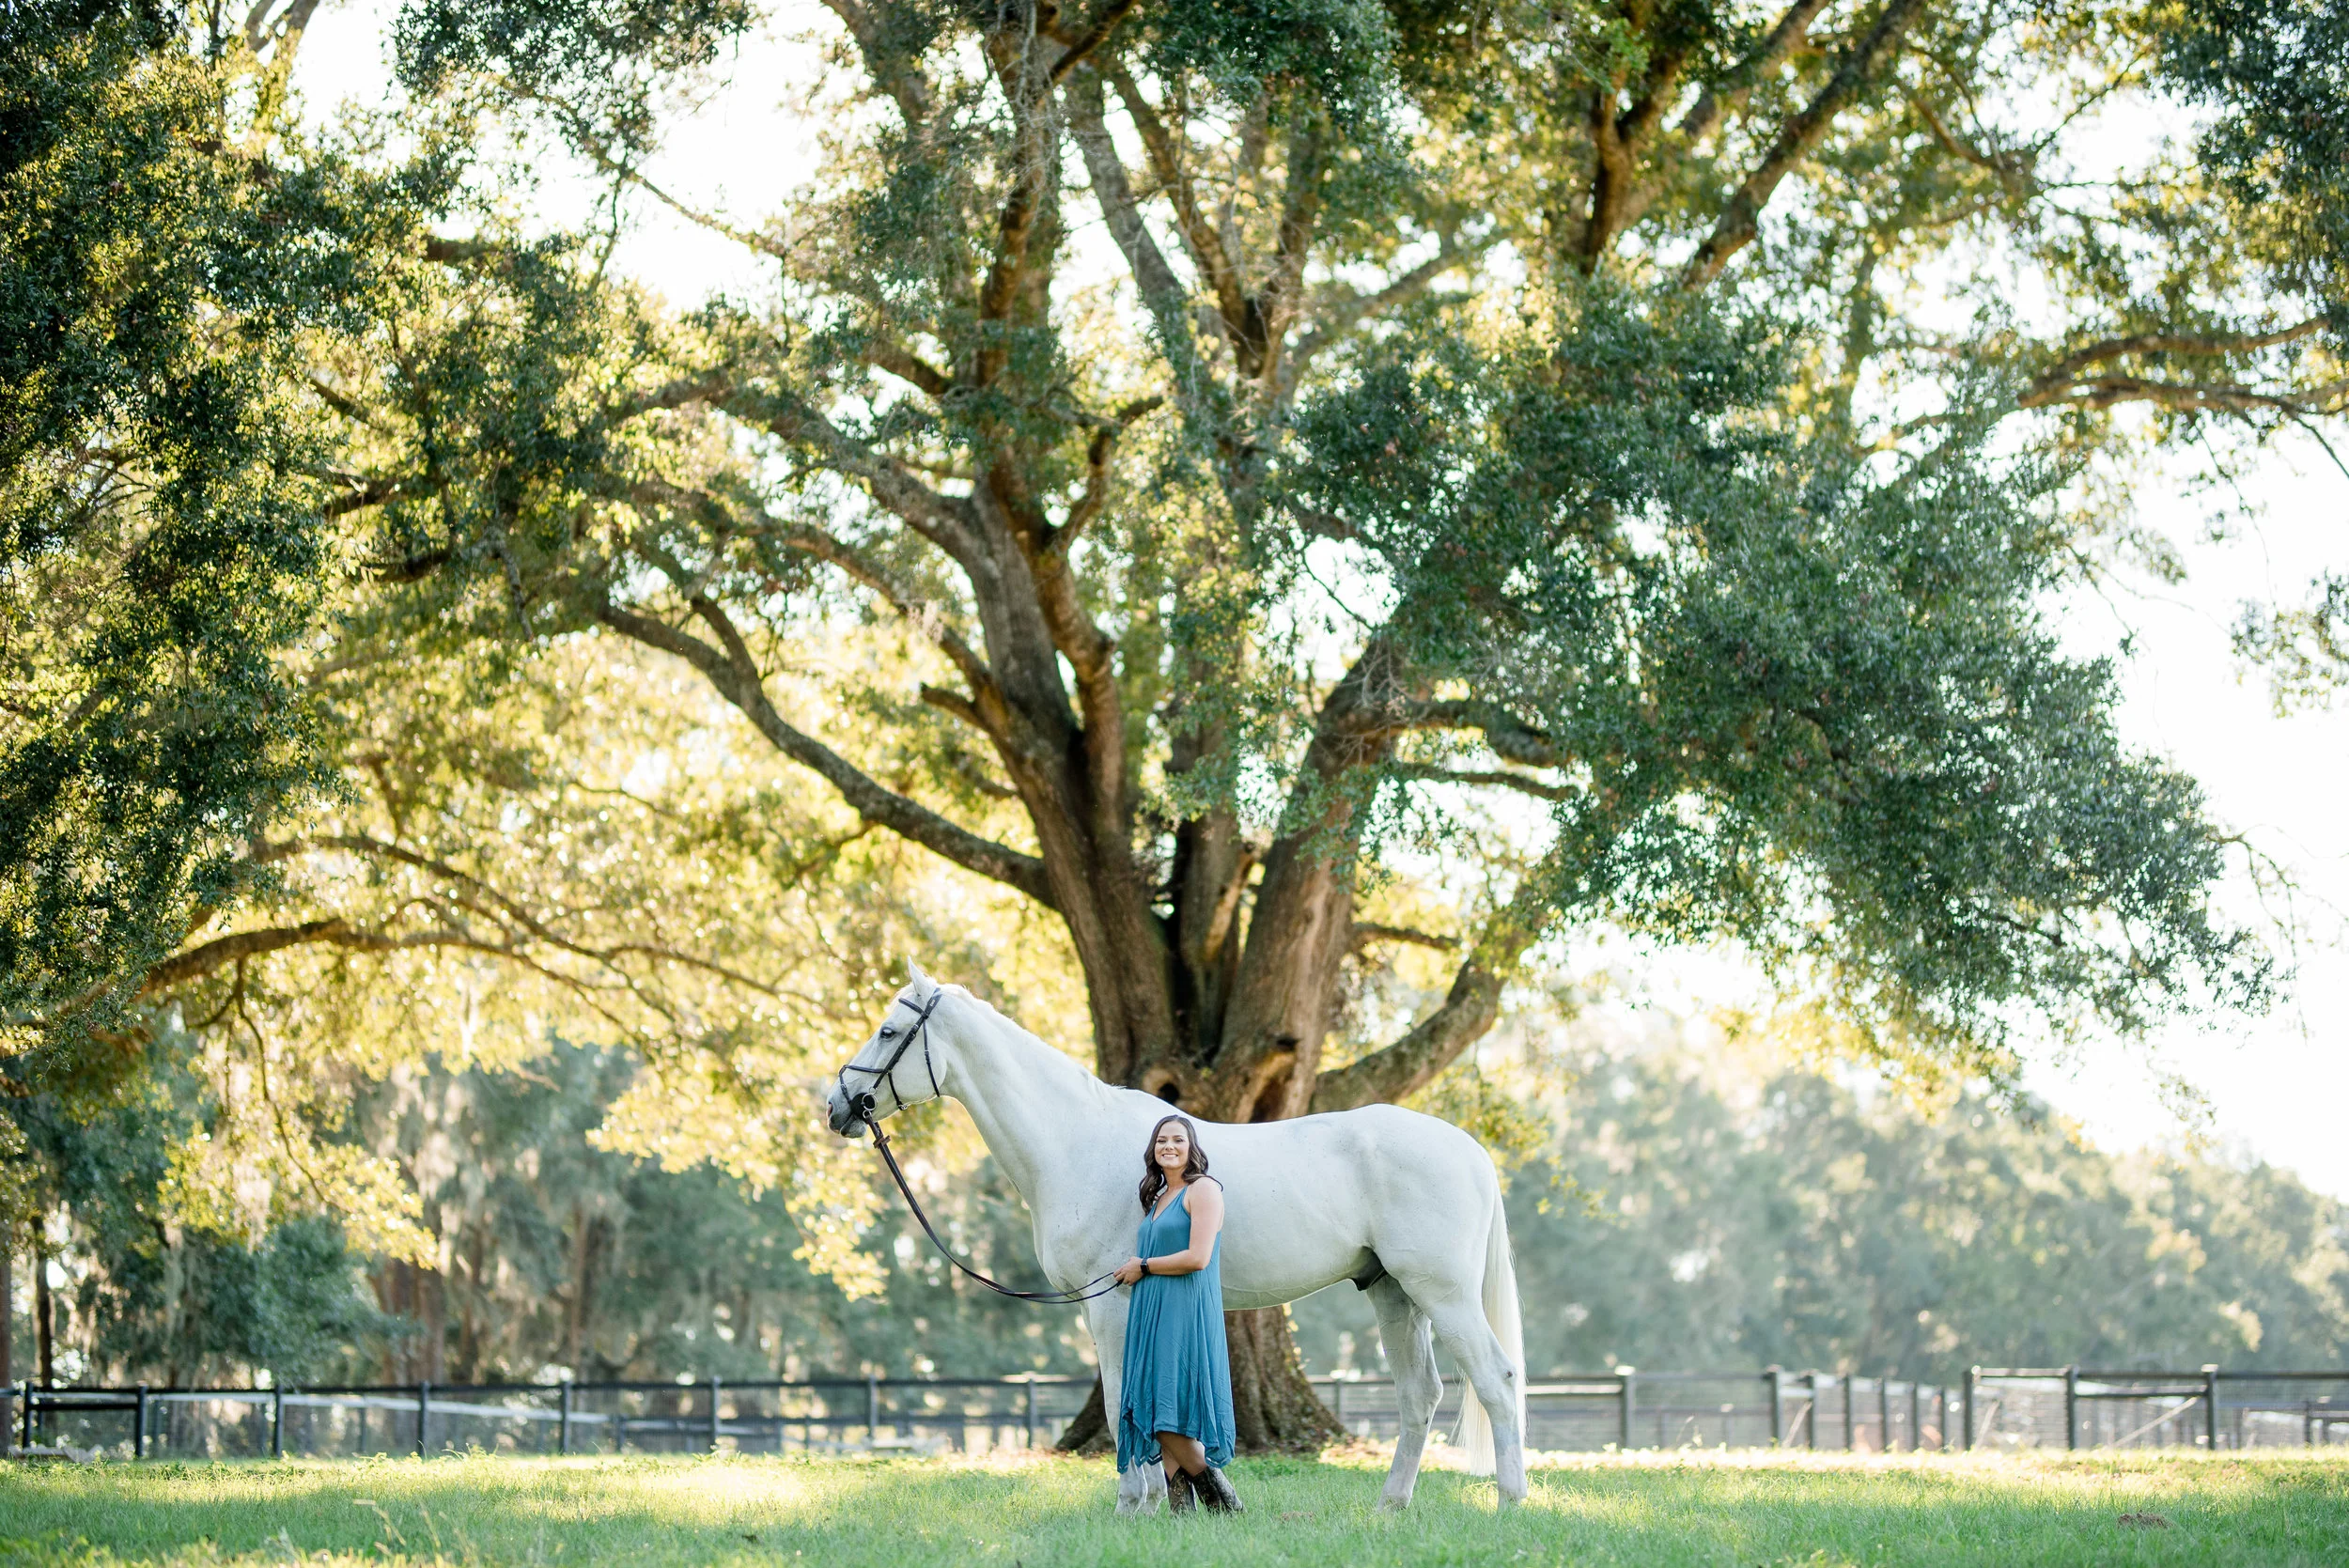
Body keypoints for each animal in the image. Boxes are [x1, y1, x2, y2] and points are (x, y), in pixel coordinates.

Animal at [823, 965, 1528, 1513]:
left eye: (888, 1031)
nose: (837, 1105)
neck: (1075, 1141)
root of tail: (1468, 1149)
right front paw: (1162, 1500)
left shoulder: (1111, 1300)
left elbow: (1119, 1403)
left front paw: (1133, 1505)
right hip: (1394, 1294)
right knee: (1420, 1397)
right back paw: (1390, 1506)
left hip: (1442, 1294)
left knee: (1495, 1380)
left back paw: (1510, 1502)